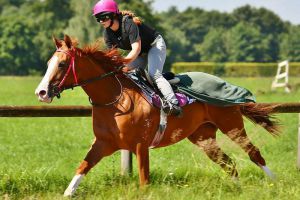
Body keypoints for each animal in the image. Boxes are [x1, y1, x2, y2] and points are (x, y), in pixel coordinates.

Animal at [34, 35, 278, 196]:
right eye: (48, 63)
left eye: (62, 64)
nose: (41, 92)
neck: (115, 98)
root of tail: (224, 82)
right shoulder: (103, 143)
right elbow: (81, 169)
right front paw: (68, 191)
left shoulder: (140, 145)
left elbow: (144, 181)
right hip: (203, 136)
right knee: (228, 163)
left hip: (232, 125)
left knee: (253, 153)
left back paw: (274, 184)